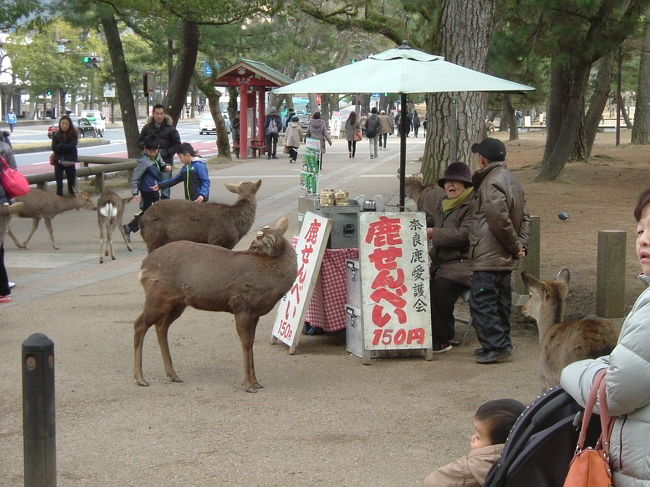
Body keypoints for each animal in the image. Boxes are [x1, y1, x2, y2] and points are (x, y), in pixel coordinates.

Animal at [133, 216, 297, 393]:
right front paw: (248, 384)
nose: (247, 249)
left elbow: (251, 342)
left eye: (255, 245)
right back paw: (140, 378)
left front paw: (256, 382)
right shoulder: (241, 306)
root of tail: (143, 267)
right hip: (157, 296)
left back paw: (173, 375)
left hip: (177, 303)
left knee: (161, 326)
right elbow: (246, 343)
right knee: (140, 324)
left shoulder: (255, 313)